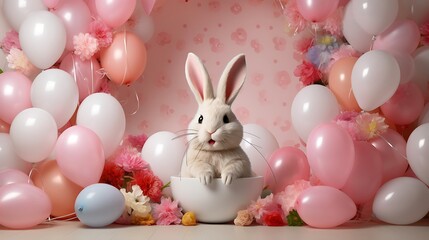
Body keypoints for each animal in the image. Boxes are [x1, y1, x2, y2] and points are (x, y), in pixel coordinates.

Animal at [180, 53, 251, 186]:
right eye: (200, 119)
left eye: (226, 119)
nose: (211, 131)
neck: (216, 152)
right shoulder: (193, 163)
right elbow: (200, 166)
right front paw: (206, 179)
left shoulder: (241, 162)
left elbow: (233, 167)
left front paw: (226, 179)